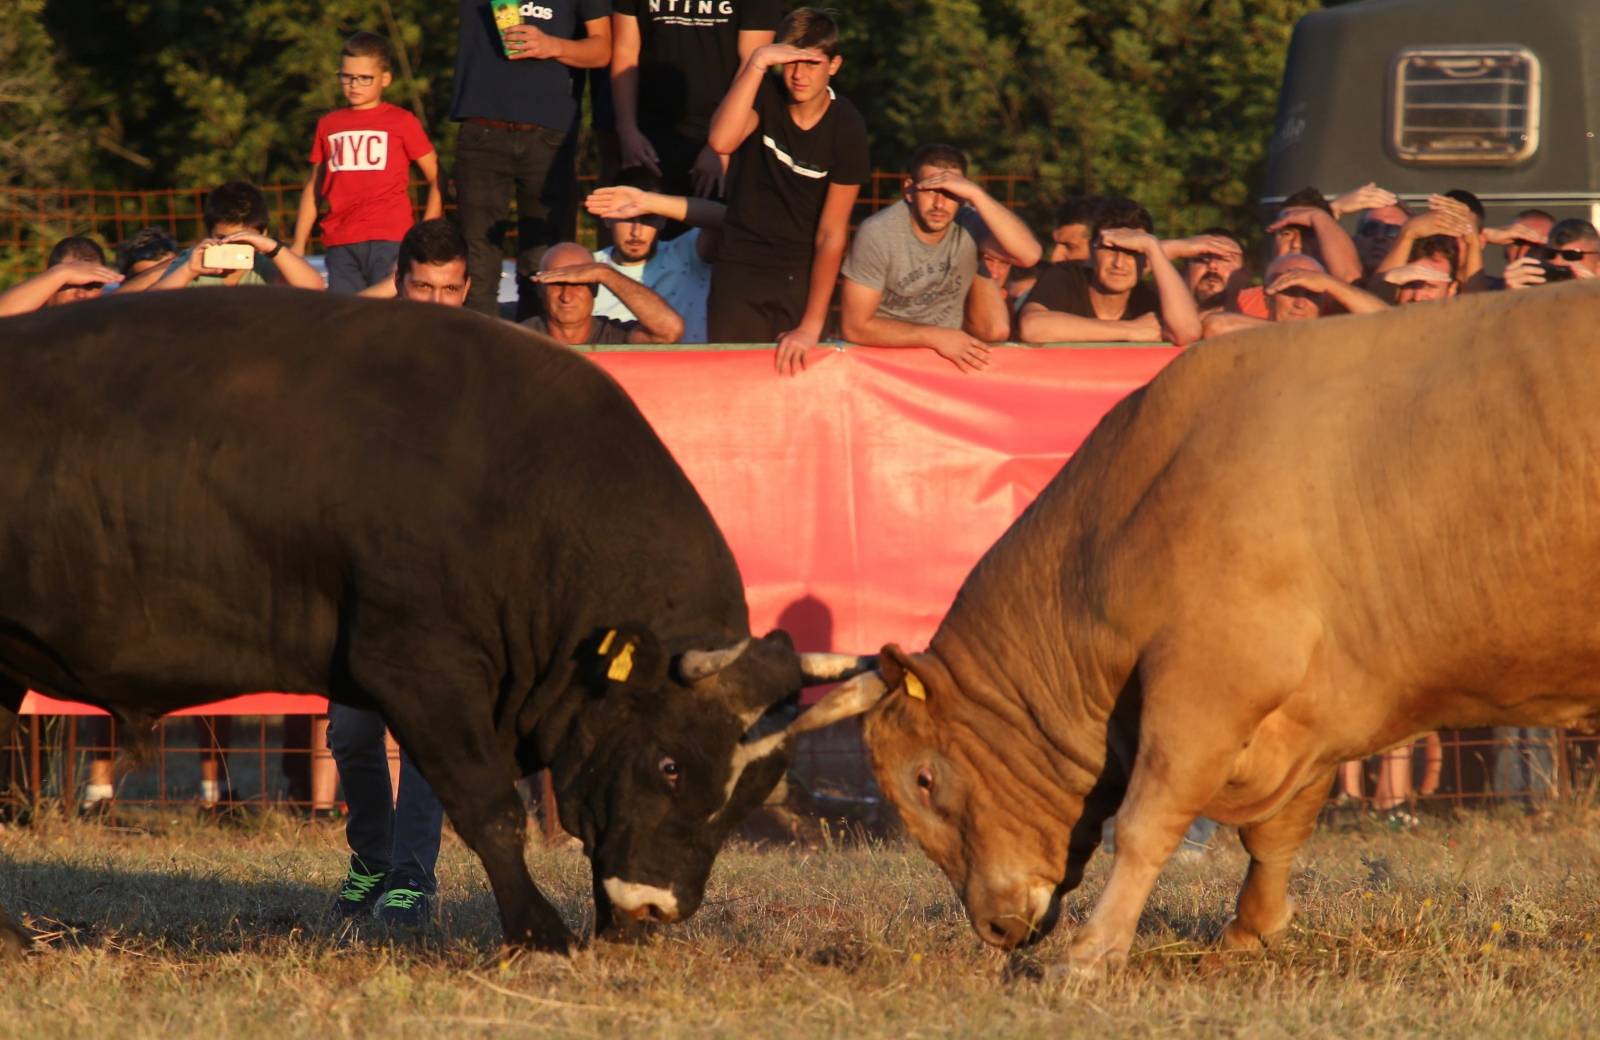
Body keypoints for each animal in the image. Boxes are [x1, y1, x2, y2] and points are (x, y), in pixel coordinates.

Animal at [812, 281, 1600, 972]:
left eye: (923, 778)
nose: (996, 927)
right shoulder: (1313, 705)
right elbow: (1276, 831)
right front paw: (1251, 929)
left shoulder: (1209, 683)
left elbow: (1146, 821)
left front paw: (1091, 954)